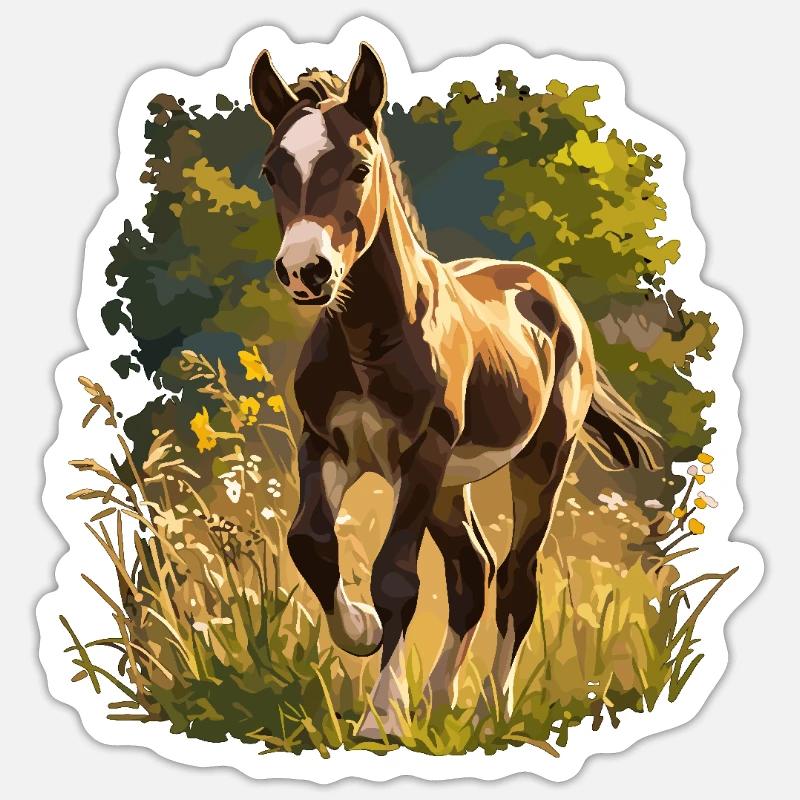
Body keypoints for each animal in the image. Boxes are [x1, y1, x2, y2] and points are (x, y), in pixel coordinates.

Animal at [249, 43, 661, 737]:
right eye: (272, 170)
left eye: (358, 167)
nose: (306, 271)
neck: (370, 339)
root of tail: (552, 296)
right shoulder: (327, 446)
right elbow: (310, 541)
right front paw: (360, 631)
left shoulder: (421, 455)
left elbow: (396, 578)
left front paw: (382, 718)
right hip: (450, 487)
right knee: (473, 570)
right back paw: (441, 700)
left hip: (538, 461)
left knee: (516, 580)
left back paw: (493, 711)